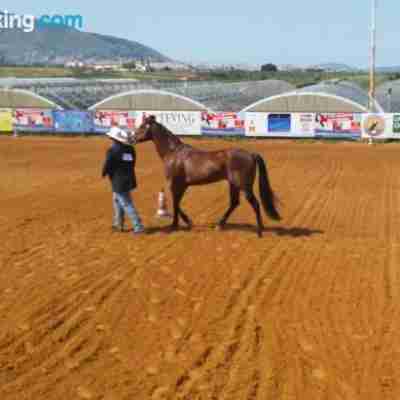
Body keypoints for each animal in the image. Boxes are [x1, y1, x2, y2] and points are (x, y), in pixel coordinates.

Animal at [133, 115, 280, 238]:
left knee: (255, 203)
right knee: (234, 203)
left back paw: (259, 232)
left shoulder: (175, 184)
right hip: (233, 184)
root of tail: (251, 154)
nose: (131, 138)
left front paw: (177, 224)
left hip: (244, 186)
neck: (174, 152)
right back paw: (220, 225)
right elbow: (177, 203)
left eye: (142, 126)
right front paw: (185, 222)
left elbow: (175, 203)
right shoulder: (183, 185)